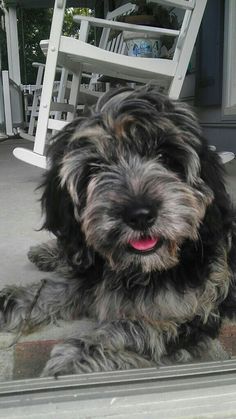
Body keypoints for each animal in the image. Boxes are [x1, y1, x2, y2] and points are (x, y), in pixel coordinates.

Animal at [0, 83, 236, 376]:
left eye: (165, 157)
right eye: (95, 167)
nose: (140, 215)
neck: (140, 267)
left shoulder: (190, 312)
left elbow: (135, 329)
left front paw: (73, 360)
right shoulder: (92, 273)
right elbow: (56, 288)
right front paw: (11, 302)